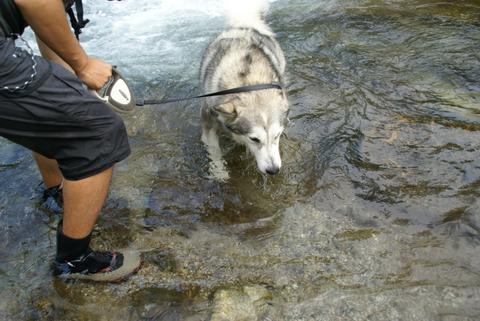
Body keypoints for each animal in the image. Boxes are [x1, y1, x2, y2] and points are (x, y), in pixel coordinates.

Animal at [200, 0, 288, 179]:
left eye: (277, 136)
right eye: (254, 139)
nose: (273, 170)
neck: (248, 83)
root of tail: (245, 24)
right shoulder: (208, 120)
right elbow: (214, 150)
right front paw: (219, 172)